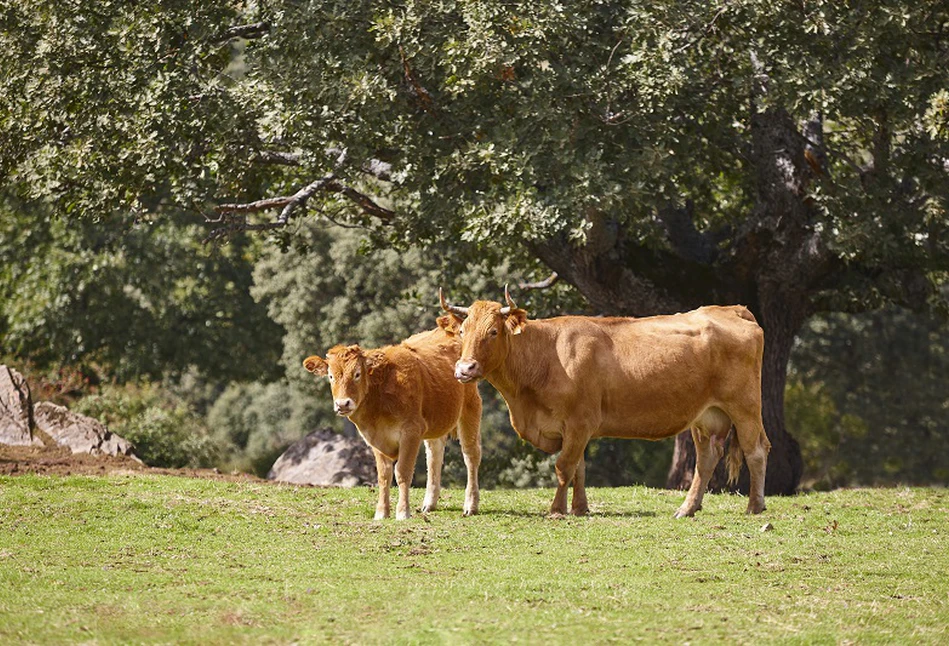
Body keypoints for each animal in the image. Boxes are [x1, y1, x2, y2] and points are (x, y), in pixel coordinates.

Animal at [304, 330, 482, 520]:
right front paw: (382, 512)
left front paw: (403, 511)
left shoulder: (411, 431)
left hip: (470, 408)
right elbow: (384, 475)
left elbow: (402, 472)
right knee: (435, 454)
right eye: (331, 376)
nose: (343, 404)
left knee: (471, 455)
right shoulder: (374, 436)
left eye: (357, 374)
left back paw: (470, 505)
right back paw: (429, 503)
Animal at [436, 292, 772, 520]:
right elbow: (579, 468)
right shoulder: (576, 429)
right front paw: (580, 508)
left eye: (493, 331)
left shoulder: (579, 422)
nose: (464, 369)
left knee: (756, 449)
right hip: (706, 416)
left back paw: (755, 506)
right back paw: (687, 508)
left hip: (745, 406)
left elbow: (564, 467)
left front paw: (556, 509)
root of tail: (731, 309)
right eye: (463, 331)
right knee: (706, 459)